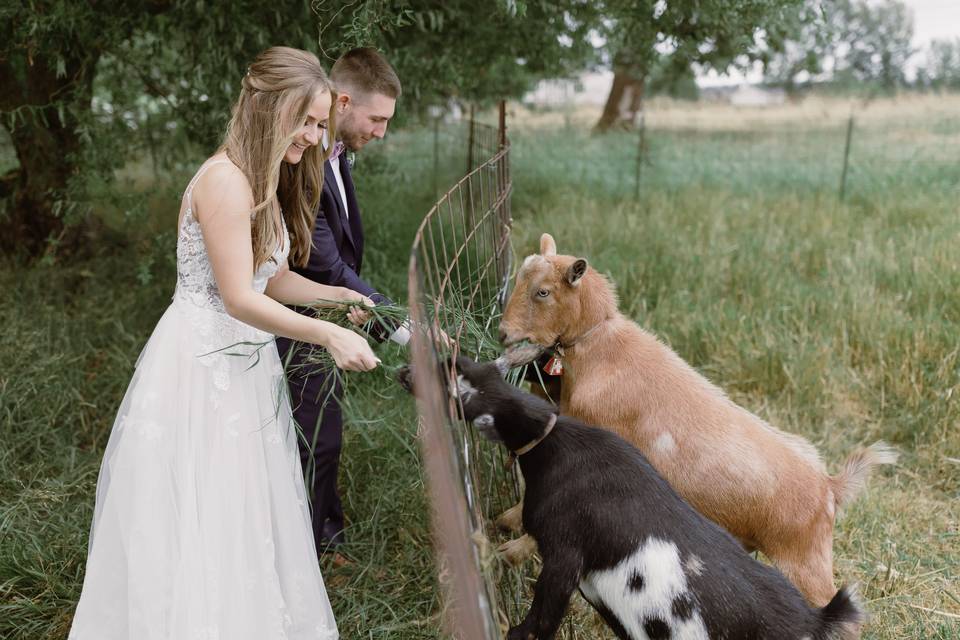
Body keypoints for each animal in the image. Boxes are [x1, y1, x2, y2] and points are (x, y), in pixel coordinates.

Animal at [398, 356, 864, 640]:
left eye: (457, 386)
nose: (404, 371)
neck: (554, 443)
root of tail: (815, 619)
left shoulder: (564, 551)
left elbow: (542, 616)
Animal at [498, 232, 896, 608]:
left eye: (543, 291)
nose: (503, 333)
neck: (602, 349)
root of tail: (830, 486)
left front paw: (508, 544)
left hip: (803, 559)